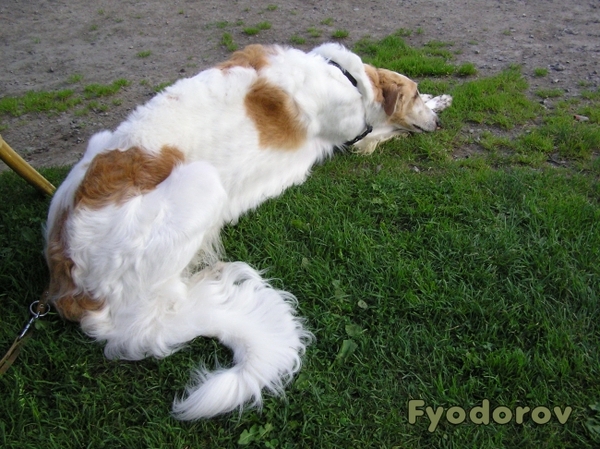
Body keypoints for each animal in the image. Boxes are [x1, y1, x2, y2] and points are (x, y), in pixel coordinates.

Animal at [43, 43, 450, 420]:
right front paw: (427, 108)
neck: (343, 74)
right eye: (413, 93)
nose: (438, 126)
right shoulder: (354, 131)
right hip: (204, 183)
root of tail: (73, 292)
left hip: (99, 141)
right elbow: (384, 129)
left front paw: (441, 100)